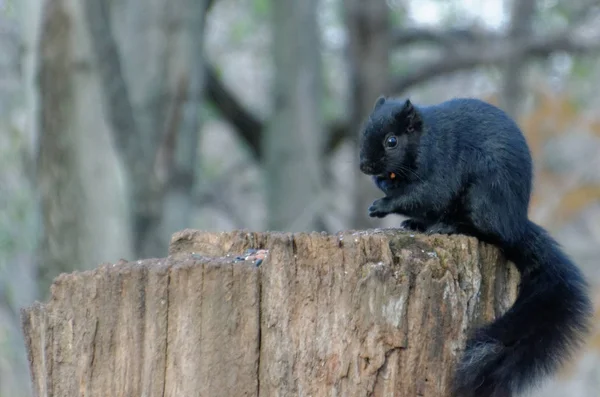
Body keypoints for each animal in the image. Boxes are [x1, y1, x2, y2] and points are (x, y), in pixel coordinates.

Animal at [358, 96, 592, 396]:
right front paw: (383, 184)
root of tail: (516, 224)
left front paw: (381, 205)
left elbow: (428, 193)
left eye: (392, 141)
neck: (423, 140)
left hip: (484, 197)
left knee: (488, 232)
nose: (365, 166)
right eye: (365, 130)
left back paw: (451, 226)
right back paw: (416, 224)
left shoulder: (442, 166)